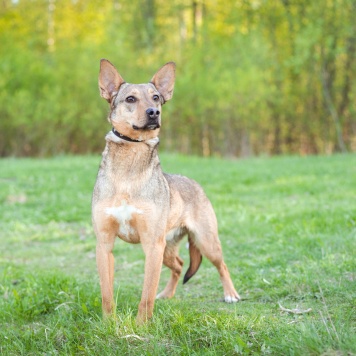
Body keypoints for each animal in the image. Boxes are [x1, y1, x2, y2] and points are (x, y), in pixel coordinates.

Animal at [92, 59, 241, 322]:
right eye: (130, 99)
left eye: (156, 98)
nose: (154, 112)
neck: (128, 171)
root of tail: (195, 184)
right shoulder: (105, 244)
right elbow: (107, 295)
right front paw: (109, 323)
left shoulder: (152, 245)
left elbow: (146, 296)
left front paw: (141, 325)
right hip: (168, 249)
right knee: (180, 265)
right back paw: (168, 294)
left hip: (204, 241)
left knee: (221, 265)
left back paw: (230, 294)